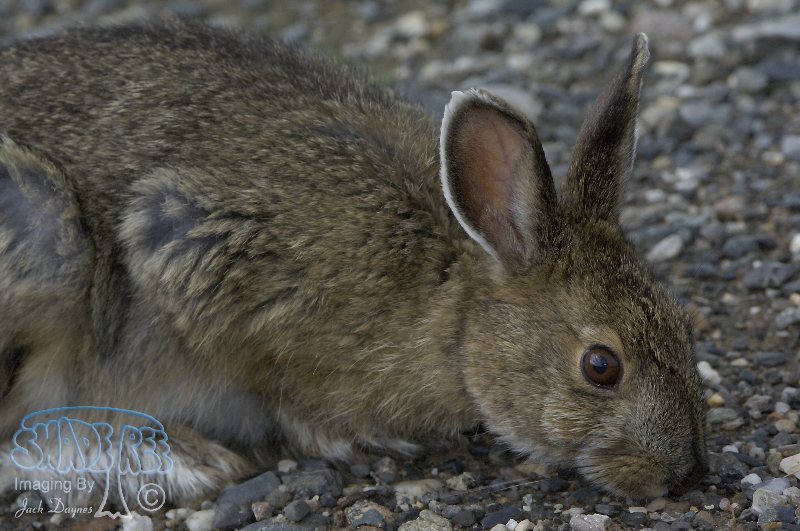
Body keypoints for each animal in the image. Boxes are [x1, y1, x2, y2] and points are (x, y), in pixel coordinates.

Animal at [0, 19, 707, 507]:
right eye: (601, 367)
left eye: (682, 321)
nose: (685, 474)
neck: (454, 305)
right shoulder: (185, 245)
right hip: (46, 236)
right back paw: (179, 460)